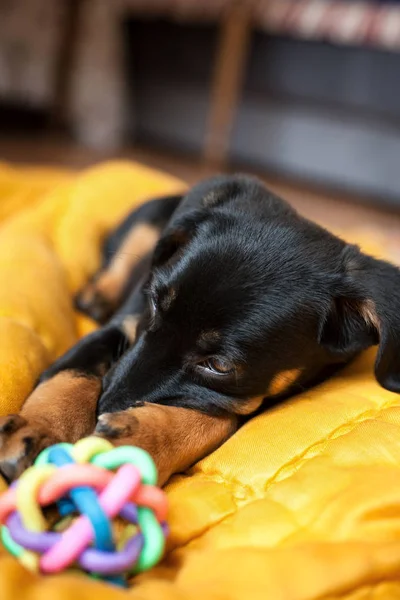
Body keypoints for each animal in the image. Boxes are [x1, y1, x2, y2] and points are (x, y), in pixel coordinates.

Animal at [0, 176, 400, 486]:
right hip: (146, 220)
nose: (104, 405)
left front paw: (138, 444)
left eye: (219, 366)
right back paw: (96, 296)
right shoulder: (122, 327)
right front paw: (39, 430)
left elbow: (216, 420)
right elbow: (71, 374)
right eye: (154, 302)